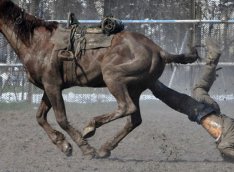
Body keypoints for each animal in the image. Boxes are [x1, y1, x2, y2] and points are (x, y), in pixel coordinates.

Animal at [0, 0, 205, 159]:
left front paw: (85, 149)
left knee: (126, 107)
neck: (37, 42)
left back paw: (91, 127)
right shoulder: (47, 87)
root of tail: (158, 50)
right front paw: (63, 145)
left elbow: (61, 118)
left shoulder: (52, 85)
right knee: (134, 119)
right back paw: (105, 148)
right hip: (135, 88)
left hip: (113, 77)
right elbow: (40, 117)